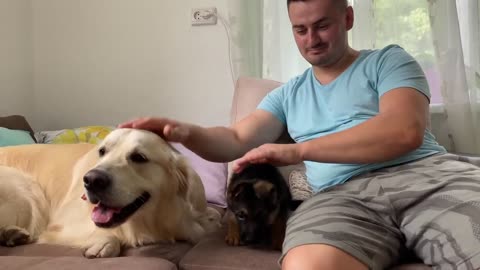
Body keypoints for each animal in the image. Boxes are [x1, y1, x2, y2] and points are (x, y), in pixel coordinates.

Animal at [0, 127, 220, 258]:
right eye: (102, 151)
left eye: (139, 157)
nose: (91, 180)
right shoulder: (59, 225)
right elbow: (109, 236)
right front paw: (104, 243)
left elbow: (208, 218)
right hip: (26, 189)